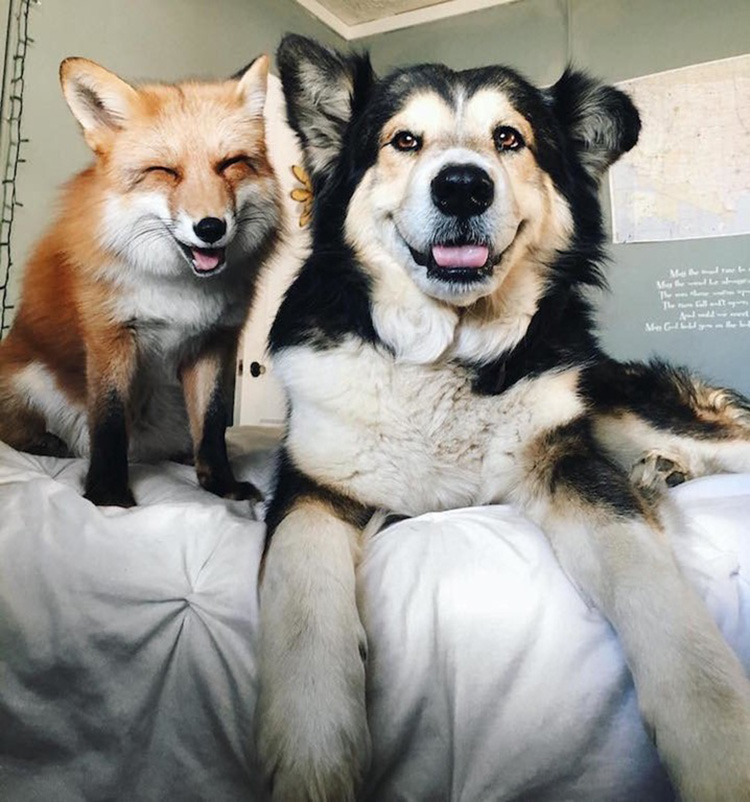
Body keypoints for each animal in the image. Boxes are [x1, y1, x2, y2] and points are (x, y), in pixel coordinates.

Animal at [0, 56, 281, 507]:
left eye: (230, 164)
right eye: (164, 172)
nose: (210, 228)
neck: (178, 290)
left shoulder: (213, 343)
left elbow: (213, 427)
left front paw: (220, 484)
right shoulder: (110, 335)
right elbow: (109, 424)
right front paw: (109, 494)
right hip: (29, 379)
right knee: (18, 430)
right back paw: (47, 443)